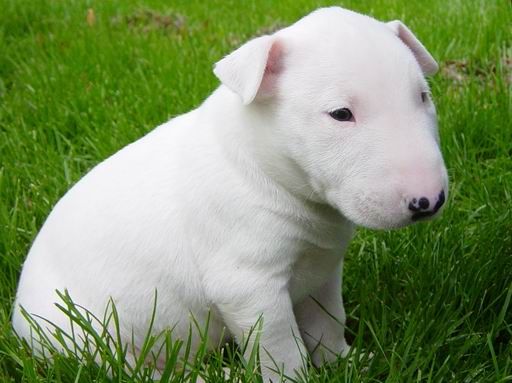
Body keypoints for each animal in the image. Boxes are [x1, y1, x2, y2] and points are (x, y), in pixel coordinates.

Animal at [13, 6, 448, 383]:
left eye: (423, 96)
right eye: (341, 114)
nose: (428, 201)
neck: (266, 171)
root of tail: (18, 320)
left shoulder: (323, 268)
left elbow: (328, 321)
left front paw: (347, 362)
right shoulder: (249, 285)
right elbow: (282, 350)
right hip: (81, 336)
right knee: (130, 369)